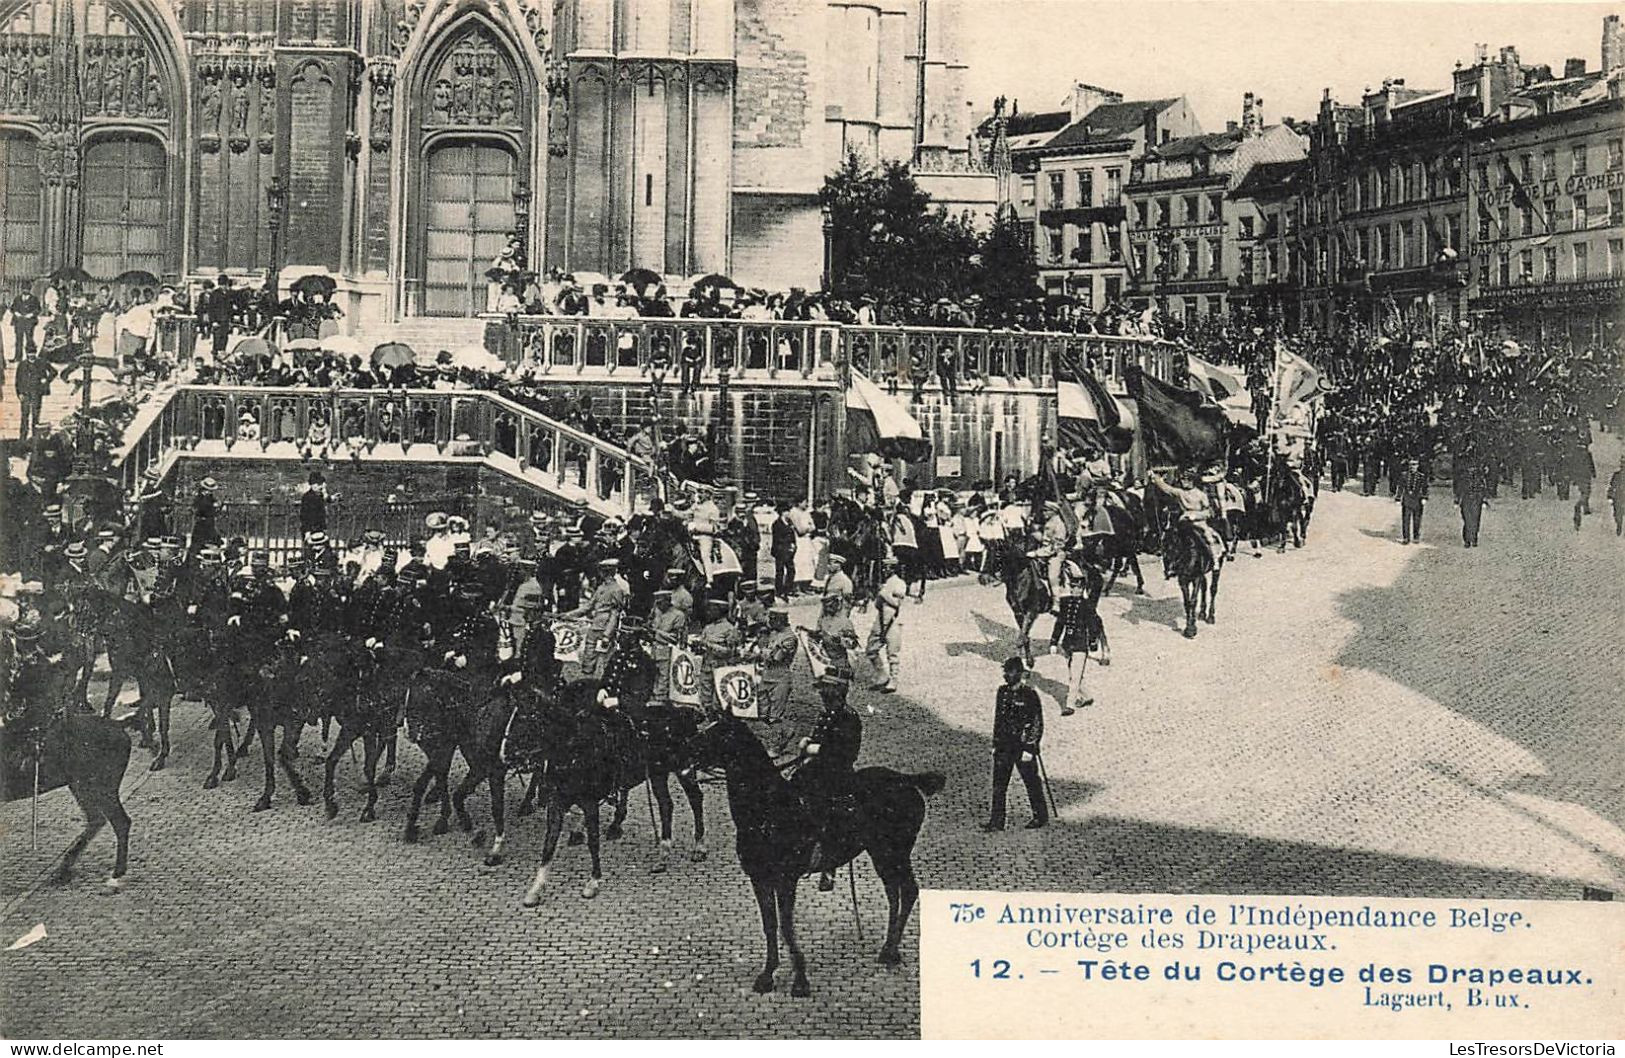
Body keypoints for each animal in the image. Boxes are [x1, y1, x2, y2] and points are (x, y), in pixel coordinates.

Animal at [682, 715, 942, 994]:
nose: (684, 748)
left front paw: (800, 979)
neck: (768, 809)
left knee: (909, 890)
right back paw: (887, 948)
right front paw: (767, 974)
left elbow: (786, 927)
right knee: (894, 894)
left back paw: (891, 951)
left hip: (895, 853)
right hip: (881, 854)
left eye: (717, 733)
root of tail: (907, 780)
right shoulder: (759, 878)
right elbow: (770, 925)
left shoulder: (786, 879)